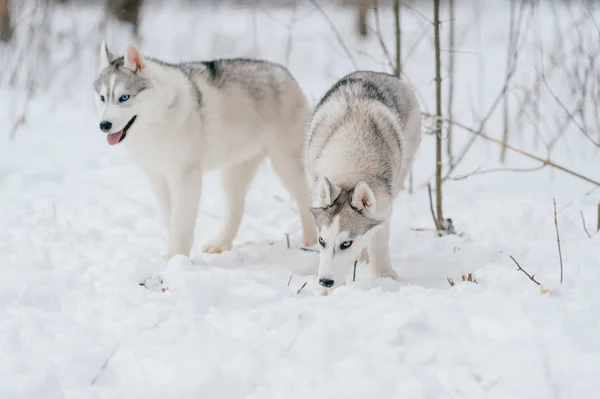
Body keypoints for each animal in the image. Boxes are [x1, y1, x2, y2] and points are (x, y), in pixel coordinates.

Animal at [92, 42, 318, 258]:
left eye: (124, 97)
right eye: (103, 98)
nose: (104, 125)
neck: (158, 120)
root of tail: (284, 72)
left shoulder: (186, 177)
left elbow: (180, 223)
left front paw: (178, 258)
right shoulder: (158, 178)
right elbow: (170, 219)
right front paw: (172, 257)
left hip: (285, 164)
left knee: (306, 198)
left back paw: (311, 241)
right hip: (233, 174)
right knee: (235, 211)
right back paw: (220, 244)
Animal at [308, 70, 420, 292]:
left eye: (346, 244)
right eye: (321, 241)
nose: (325, 281)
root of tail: (376, 73)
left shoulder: (383, 206)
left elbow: (378, 240)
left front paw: (384, 277)